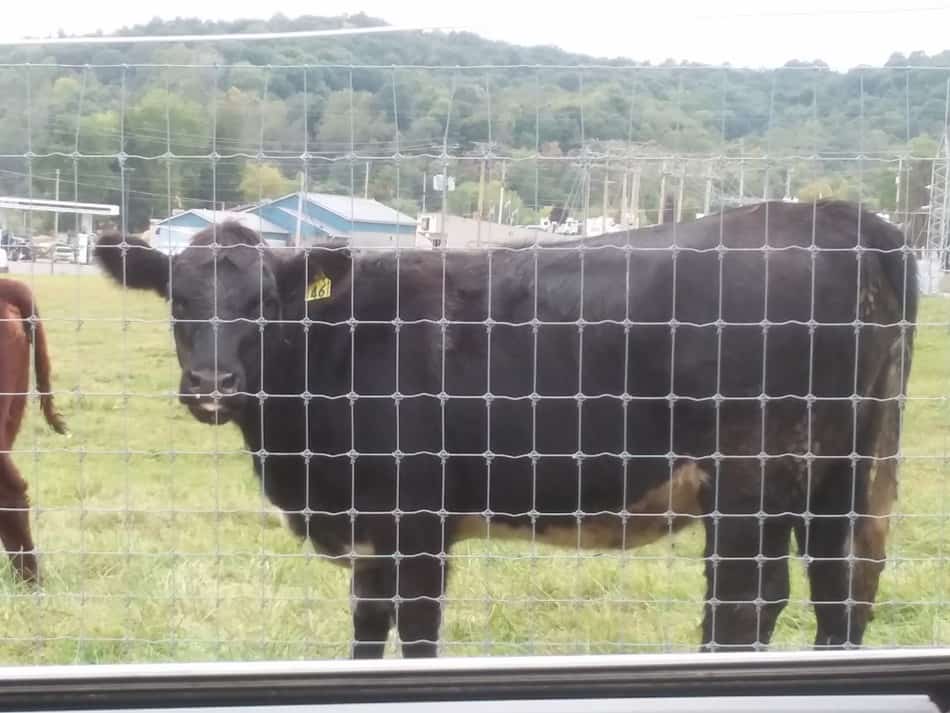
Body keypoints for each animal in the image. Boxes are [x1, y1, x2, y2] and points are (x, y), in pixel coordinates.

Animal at [95, 199, 916, 656]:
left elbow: (415, 629)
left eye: (264, 301)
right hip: (848, 467)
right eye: (177, 298)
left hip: (755, 474)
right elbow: (367, 625)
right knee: (841, 587)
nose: (212, 385)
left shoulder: (417, 519)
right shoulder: (369, 527)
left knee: (746, 602)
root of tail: (835, 213)